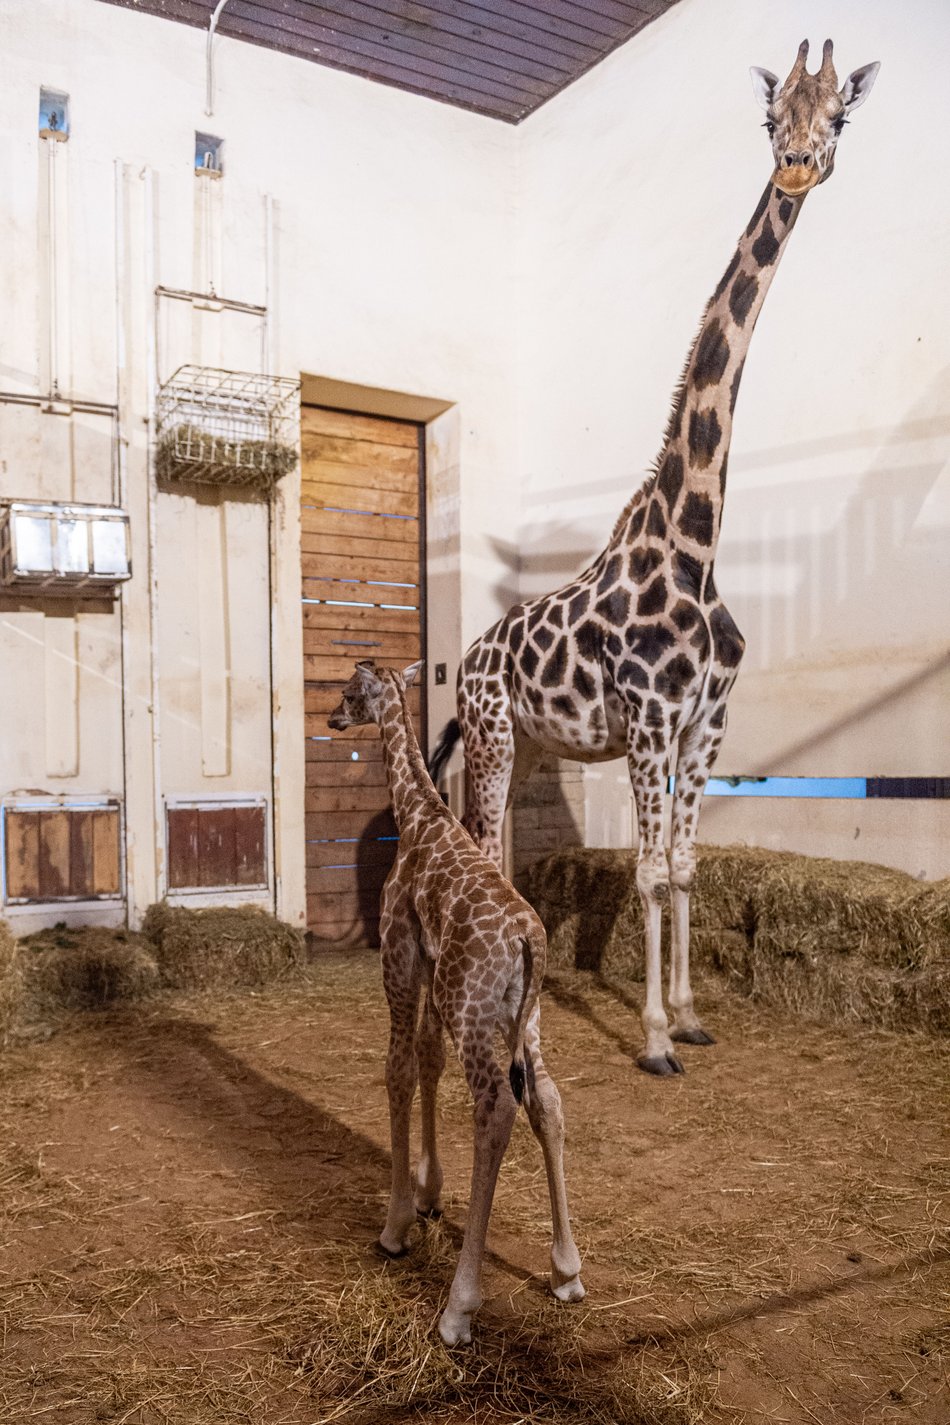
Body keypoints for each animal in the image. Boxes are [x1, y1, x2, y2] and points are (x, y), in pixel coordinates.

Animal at [330, 658, 583, 1345]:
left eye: (348, 693)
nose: (332, 719)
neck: (419, 816)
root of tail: (527, 940)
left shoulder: (400, 960)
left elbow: (397, 1068)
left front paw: (396, 1226)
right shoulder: (428, 971)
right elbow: (426, 1059)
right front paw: (428, 1194)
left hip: (469, 1009)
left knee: (497, 1109)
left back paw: (458, 1308)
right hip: (528, 1018)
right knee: (546, 1099)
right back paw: (567, 1271)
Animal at [435, 39, 883, 1071]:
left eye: (838, 113)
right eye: (771, 116)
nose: (795, 165)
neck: (693, 545)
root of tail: (468, 658)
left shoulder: (705, 723)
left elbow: (681, 865)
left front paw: (687, 1013)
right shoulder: (647, 719)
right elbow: (641, 872)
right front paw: (650, 1038)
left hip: (526, 743)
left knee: (502, 850)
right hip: (491, 734)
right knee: (476, 840)